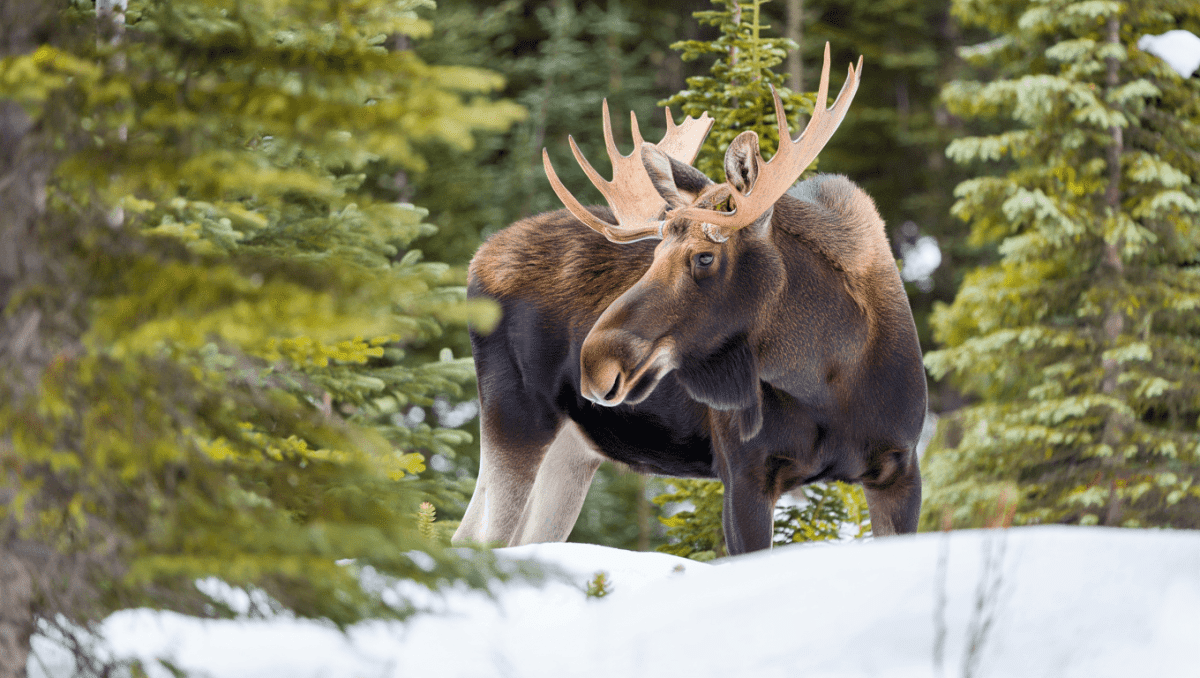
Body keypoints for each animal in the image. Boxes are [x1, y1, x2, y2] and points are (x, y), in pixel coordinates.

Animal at [452, 44, 926, 555]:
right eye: (654, 252)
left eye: (703, 256)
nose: (594, 363)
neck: (827, 380)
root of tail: (476, 261)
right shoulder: (743, 472)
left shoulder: (900, 468)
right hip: (515, 418)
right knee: (473, 539)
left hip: (571, 451)